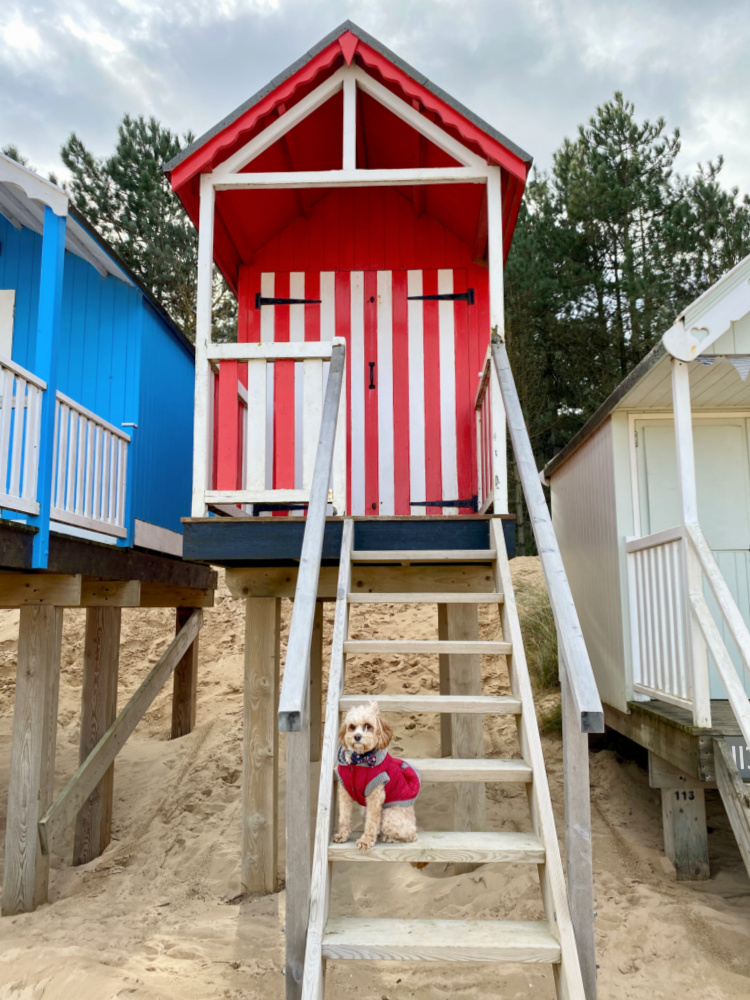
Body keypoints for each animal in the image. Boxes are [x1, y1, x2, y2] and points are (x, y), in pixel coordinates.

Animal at [332, 704, 420, 852]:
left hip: (388, 814)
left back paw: (389, 838)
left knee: (410, 835)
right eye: (352, 726)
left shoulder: (375, 795)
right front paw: (342, 835)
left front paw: (366, 840)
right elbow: (344, 816)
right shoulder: (344, 792)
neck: (358, 760)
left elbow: (372, 822)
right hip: (365, 810)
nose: (357, 736)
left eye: (368, 726)